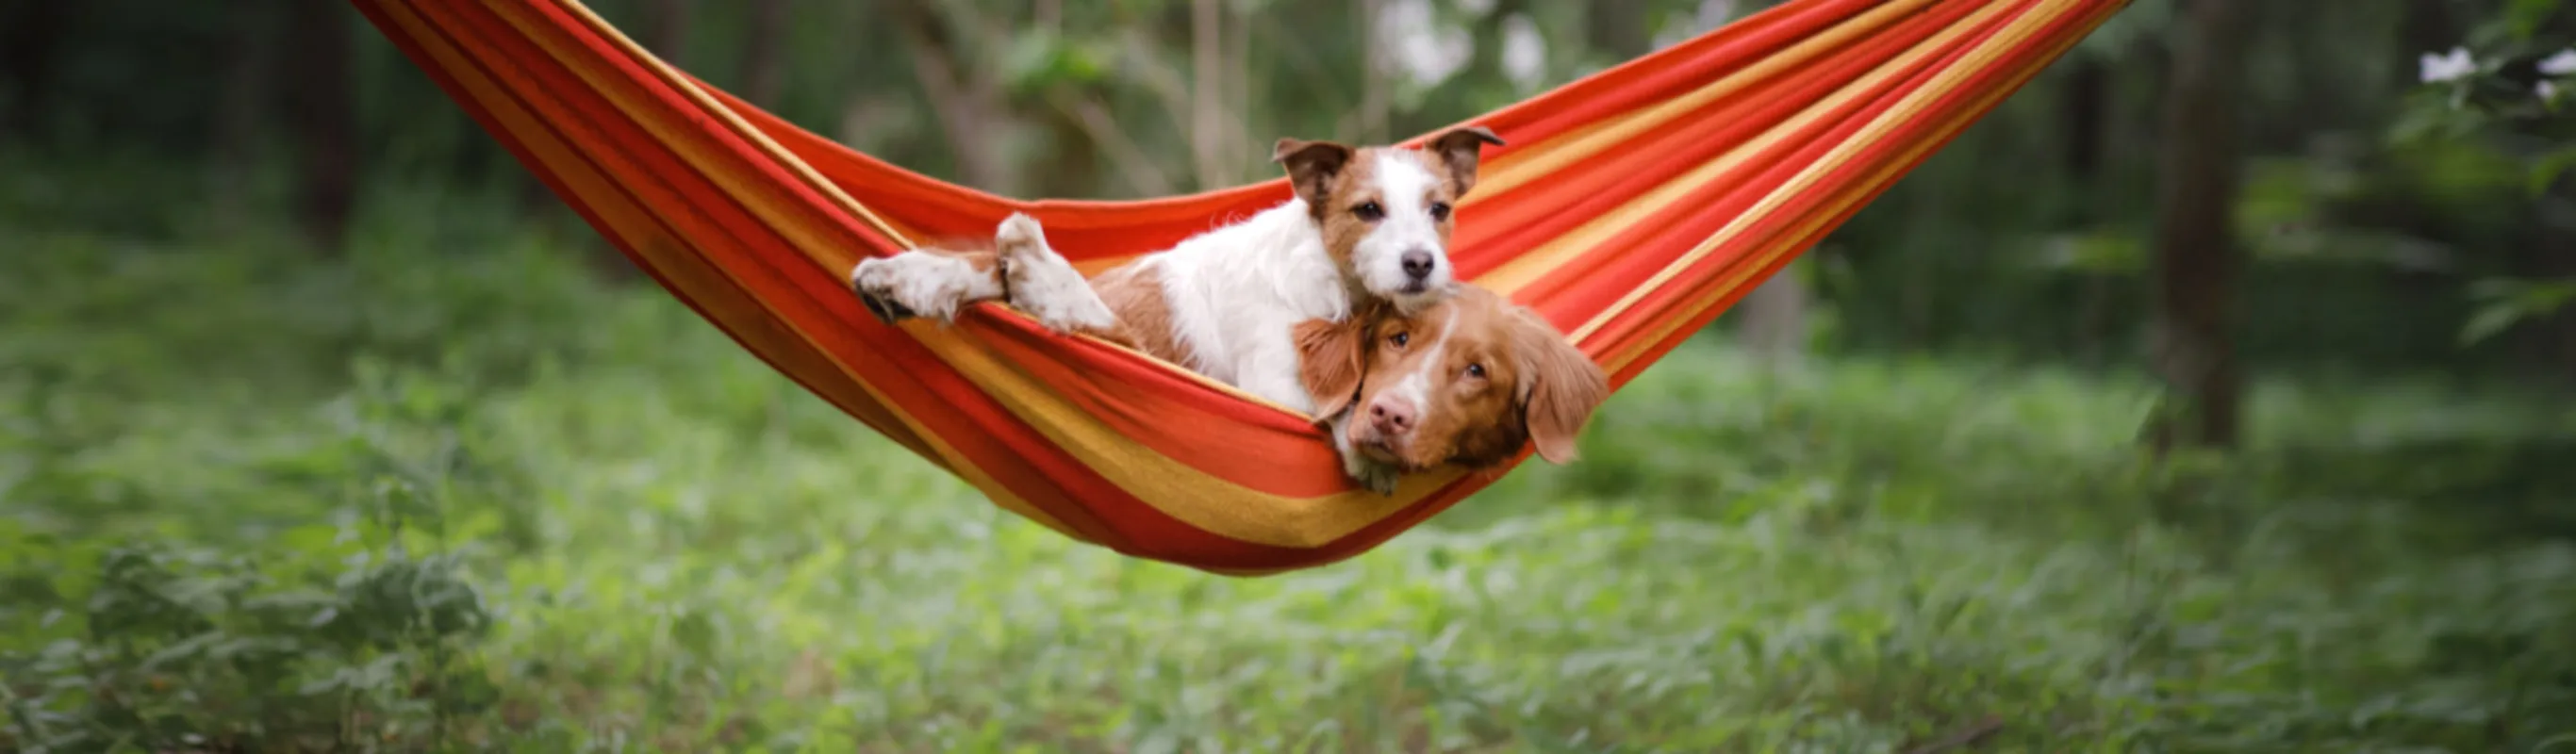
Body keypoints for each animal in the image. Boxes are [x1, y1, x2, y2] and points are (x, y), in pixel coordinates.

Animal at [845, 125, 1504, 488]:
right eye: (1368, 210)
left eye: (1439, 210)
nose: (1421, 263)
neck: (1339, 288)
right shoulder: (1269, 384)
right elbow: (1337, 406)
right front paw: (1365, 448)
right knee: (1075, 309)